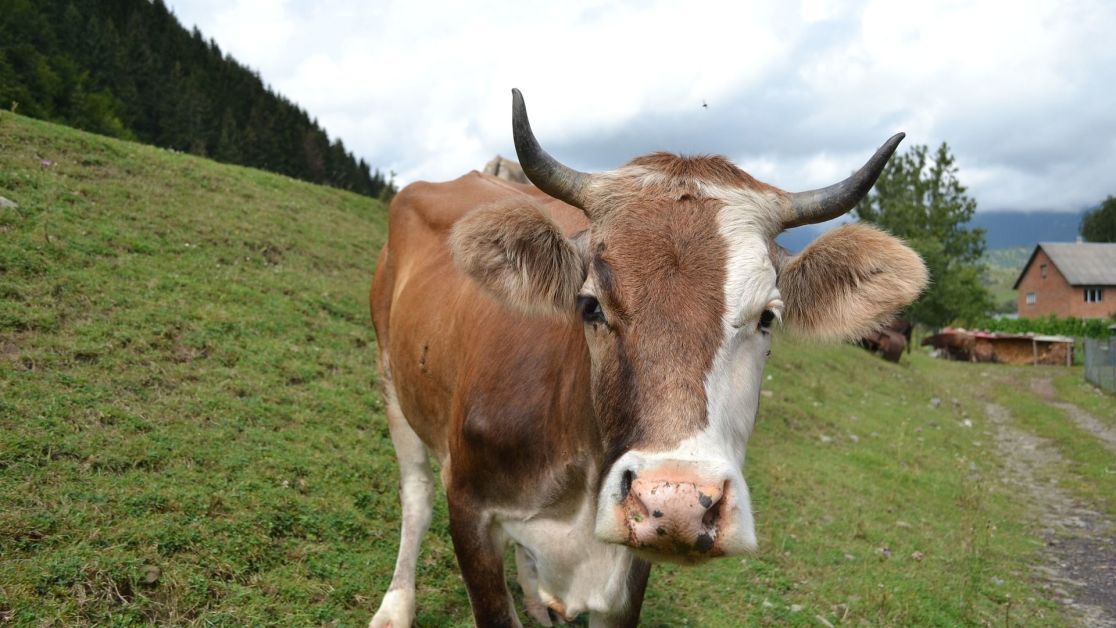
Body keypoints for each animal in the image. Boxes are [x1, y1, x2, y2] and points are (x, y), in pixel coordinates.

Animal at [366, 89, 924, 628]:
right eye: (590, 305)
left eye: (768, 316)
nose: (676, 504)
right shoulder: (470, 510)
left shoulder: (628, 573)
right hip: (393, 378)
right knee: (416, 496)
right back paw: (396, 607)